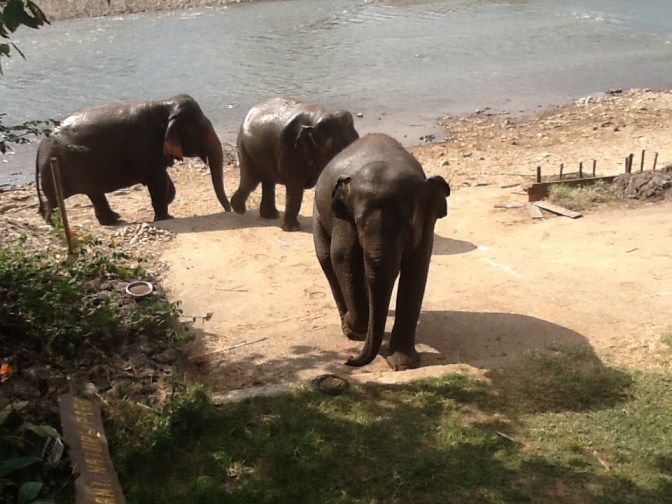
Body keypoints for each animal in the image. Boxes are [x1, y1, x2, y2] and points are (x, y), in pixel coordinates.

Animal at [35, 94, 231, 225]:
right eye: (201, 131)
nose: (229, 210)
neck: (164, 104)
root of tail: (40, 147)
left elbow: (164, 180)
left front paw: (167, 205)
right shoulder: (147, 146)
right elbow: (158, 180)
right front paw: (166, 217)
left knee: (94, 193)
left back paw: (114, 220)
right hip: (56, 171)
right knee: (55, 201)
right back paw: (52, 224)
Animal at [231, 97, 359, 231]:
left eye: (357, 139)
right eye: (330, 149)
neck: (315, 119)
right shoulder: (290, 150)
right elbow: (295, 188)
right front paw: (293, 229)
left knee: (267, 182)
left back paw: (270, 215)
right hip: (246, 150)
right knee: (251, 182)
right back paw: (239, 210)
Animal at [313, 133, 451, 371]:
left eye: (408, 226)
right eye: (359, 223)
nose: (349, 360)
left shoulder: (427, 224)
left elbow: (417, 271)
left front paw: (403, 364)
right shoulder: (344, 220)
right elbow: (342, 258)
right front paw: (355, 326)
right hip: (318, 215)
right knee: (326, 260)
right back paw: (351, 330)